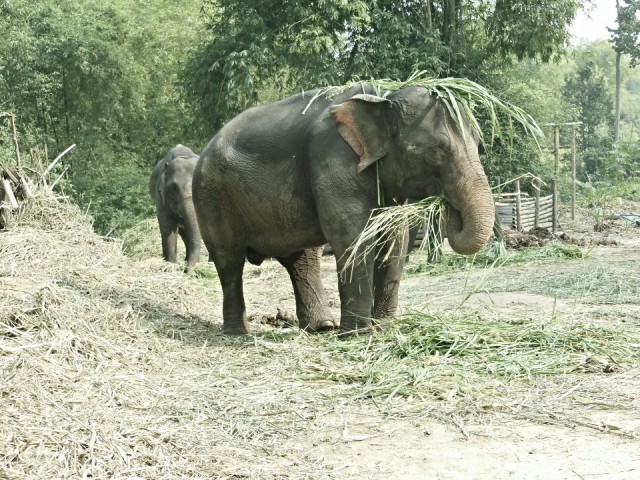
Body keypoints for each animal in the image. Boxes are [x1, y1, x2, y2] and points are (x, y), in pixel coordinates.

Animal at [192, 84, 495, 335]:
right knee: (229, 260)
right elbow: (351, 236)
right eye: (436, 150)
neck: (383, 98)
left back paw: (322, 327)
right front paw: (359, 335)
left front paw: (384, 329)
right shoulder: (333, 159)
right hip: (211, 198)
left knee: (302, 260)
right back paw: (239, 332)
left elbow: (394, 240)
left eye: (480, 143)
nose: (449, 206)